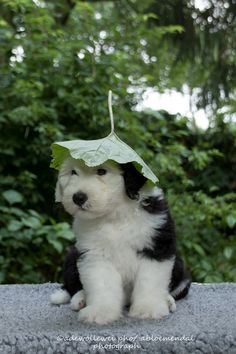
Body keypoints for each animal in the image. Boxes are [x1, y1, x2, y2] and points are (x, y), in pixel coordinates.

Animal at [50, 159, 191, 324]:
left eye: (102, 171)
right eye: (73, 172)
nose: (78, 197)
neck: (116, 214)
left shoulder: (157, 246)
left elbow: (150, 280)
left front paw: (148, 309)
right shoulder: (95, 254)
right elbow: (102, 283)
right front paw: (100, 312)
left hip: (180, 267)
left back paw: (167, 300)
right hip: (73, 255)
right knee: (73, 286)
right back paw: (80, 300)